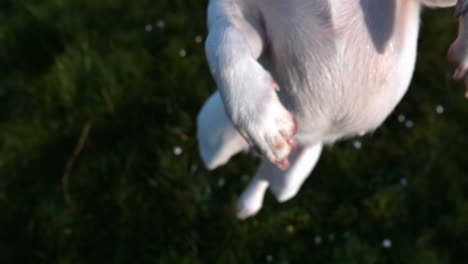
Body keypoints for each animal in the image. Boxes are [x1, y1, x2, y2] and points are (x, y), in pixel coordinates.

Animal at [196, 0, 466, 219]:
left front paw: (463, 52)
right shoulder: (237, 13)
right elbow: (221, 41)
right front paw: (258, 115)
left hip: (292, 178)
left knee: (268, 177)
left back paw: (250, 200)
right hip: (214, 142)